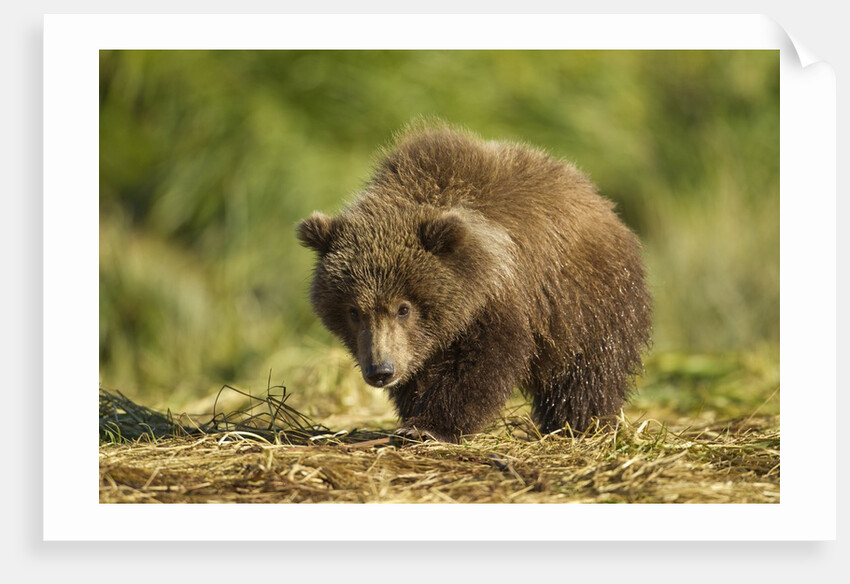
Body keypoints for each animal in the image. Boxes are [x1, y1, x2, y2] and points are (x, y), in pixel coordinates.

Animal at [297, 123, 652, 443]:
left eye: (403, 308)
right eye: (353, 311)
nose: (381, 370)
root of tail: (603, 203)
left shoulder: (498, 296)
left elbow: (480, 364)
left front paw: (429, 426)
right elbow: (419, 372)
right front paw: (412, 414)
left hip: (586, 299)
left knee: (586, 369)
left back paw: (578, 423)